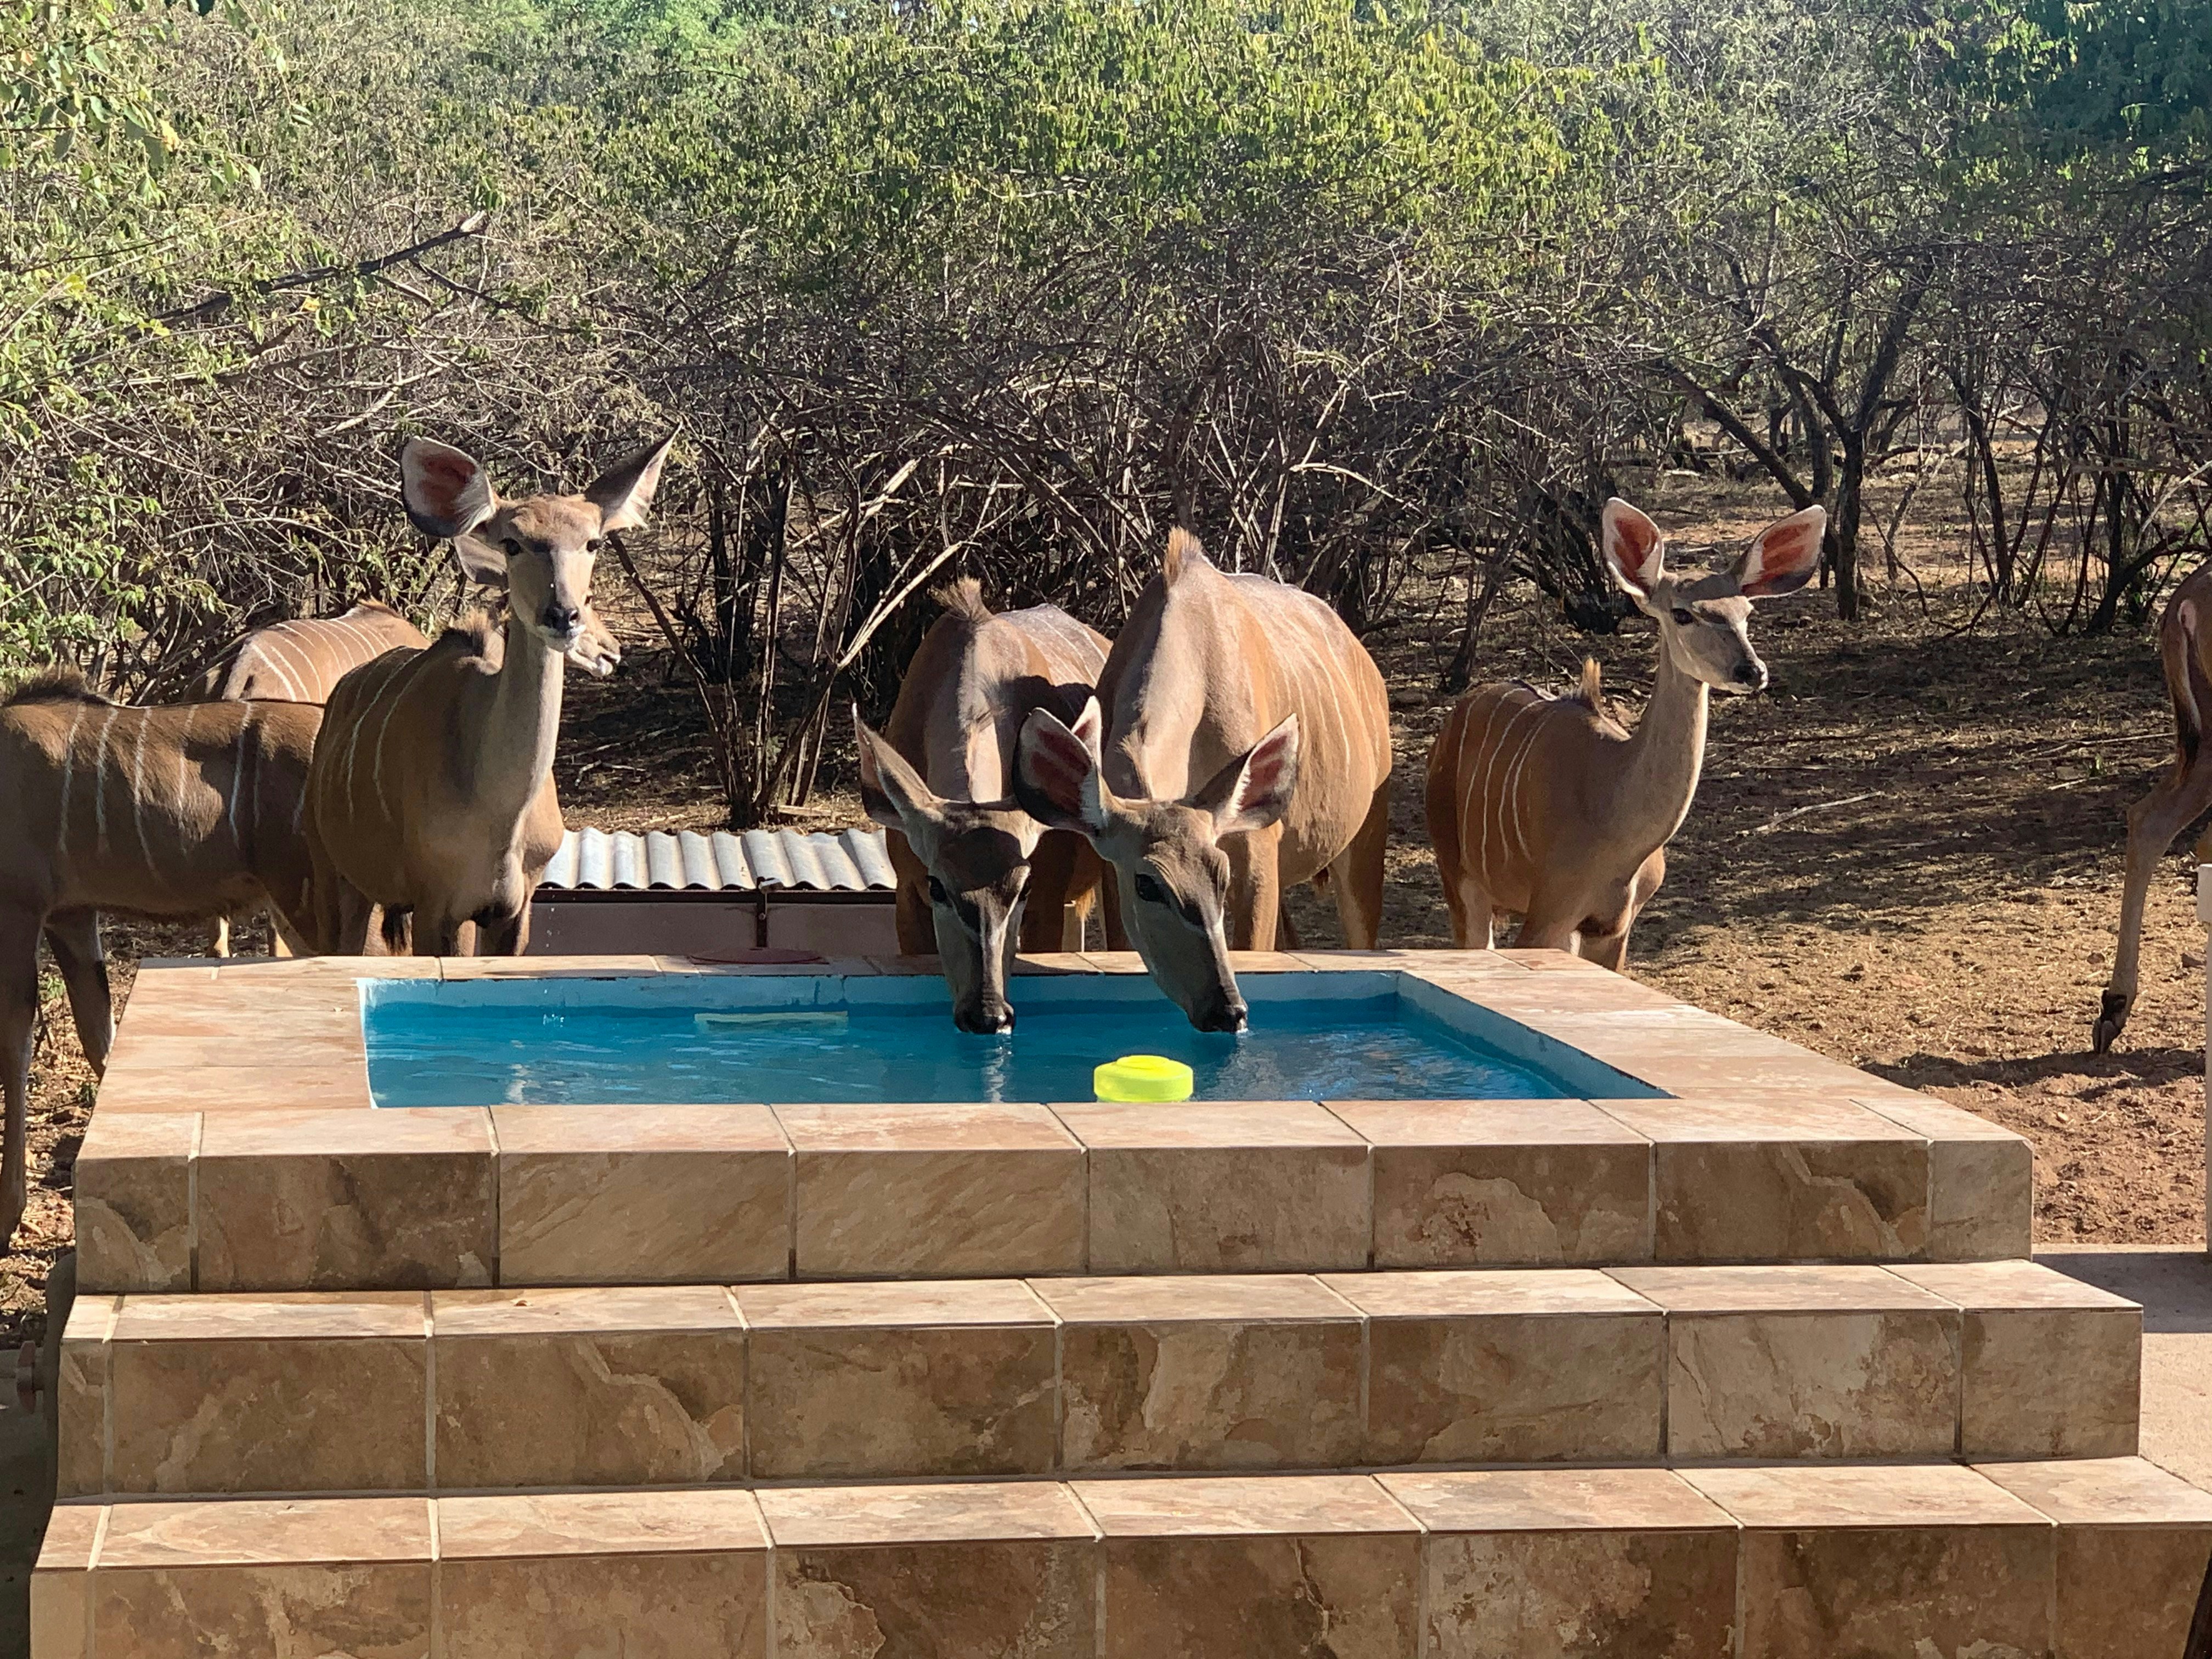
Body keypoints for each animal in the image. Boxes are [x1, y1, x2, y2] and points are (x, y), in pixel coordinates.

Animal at [306, 434, 671, 956]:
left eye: (593, 542)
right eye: (512, 543)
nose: (563, 616)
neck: (500, 814)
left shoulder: (514, 910)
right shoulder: (439, 908)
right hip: (337, 881)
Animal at [1015, 527, 1392, 1032]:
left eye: (1222, 877)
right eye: (1148, 884)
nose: (1226, 1010)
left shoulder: (1255, 854)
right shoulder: (1115, 868)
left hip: (1366, 835)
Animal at [1425, 498, 1824, 968]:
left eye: (1747, 614)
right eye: (1682, 613)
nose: (1752, 671)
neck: (1615, 814)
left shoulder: (1613, 927)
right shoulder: (1548, 915)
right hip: (1460, 880)